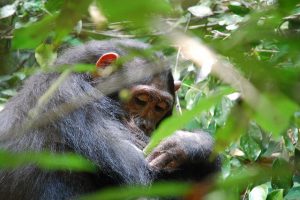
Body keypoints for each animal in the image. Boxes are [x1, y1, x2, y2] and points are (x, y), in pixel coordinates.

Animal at [0, 38, 219, 199]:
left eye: (159, 108)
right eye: (141, 99)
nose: (145, 125)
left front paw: (190, 142)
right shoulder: (70, 98)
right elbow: (138, 170)